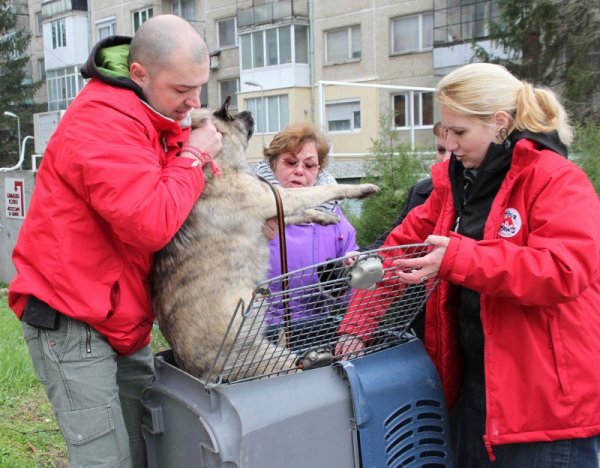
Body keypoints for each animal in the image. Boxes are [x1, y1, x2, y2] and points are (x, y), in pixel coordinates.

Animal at [150, 98, 378, 380]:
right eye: (228, 113)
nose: (248, 112)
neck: (216, 159)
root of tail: (199, 373)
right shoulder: (272, 197)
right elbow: (320, 190)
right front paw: (359, 189)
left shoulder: (272, 205)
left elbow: (299, 212)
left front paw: (322, 216)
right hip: (263, 357)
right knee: (294, 363)